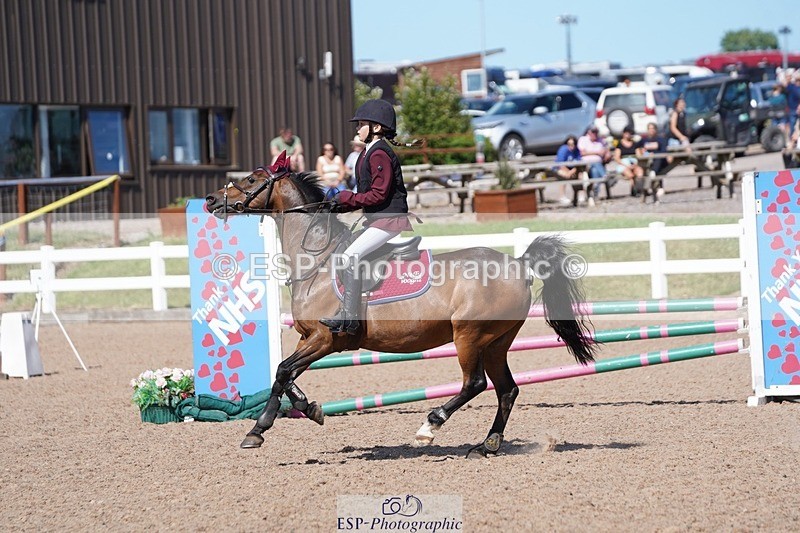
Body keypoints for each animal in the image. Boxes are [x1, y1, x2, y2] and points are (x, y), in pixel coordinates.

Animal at [205, 166, 597, 456]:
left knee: (475, 384)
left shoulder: (324, 339)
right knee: (507, 390)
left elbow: (284, 371)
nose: (210, 200)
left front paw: (266, 426)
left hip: (469, 336)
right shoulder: (309, 339)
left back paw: (430, 426)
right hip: (496, 342)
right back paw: (488, 444)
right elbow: (283, 376)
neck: (317, 262)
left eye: (252, 180)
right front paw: (297, 413)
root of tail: (518, 262)